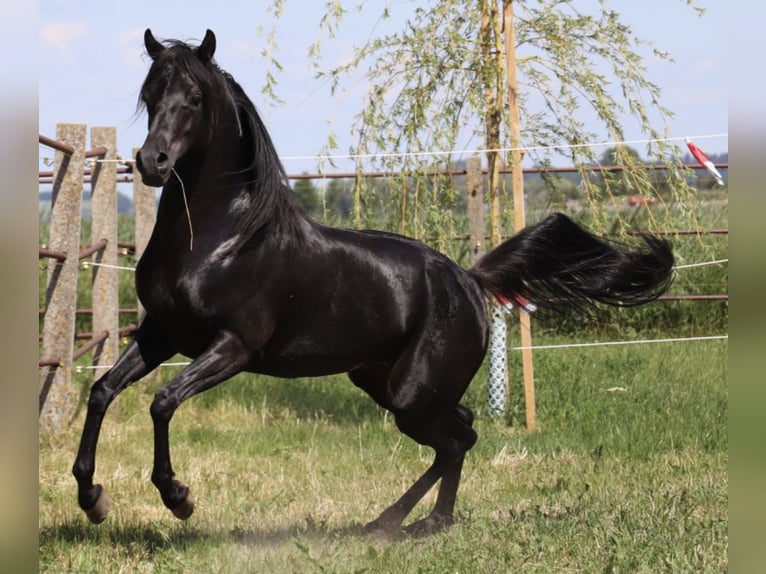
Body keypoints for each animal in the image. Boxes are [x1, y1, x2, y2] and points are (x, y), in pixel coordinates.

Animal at [72, 29, 672, 536]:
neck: (221, 239)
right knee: (461, 431)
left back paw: (416, 524)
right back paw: (397, 521)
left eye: (194, 98)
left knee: (457, 438)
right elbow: (102, 391)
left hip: (412, 394)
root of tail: (469, 279)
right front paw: (92, 497)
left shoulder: (233, 347)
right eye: (151, 94)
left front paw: (178, 497)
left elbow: (163, 401)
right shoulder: (162, 333)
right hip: (385, 382)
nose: (152, 161)